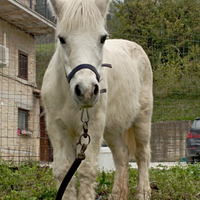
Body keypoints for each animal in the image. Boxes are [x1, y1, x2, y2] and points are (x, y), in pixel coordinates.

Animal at [41, 0, 152, 199]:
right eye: (62, 39)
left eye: (102, 38)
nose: (86, 91)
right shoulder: (56, 127)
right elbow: (62, 170)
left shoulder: (92, 126)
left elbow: (86, 170)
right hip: (111, 128)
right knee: (122, 154)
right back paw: (118, 195)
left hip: (142, 118)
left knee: (142, 153)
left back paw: (143, 192)